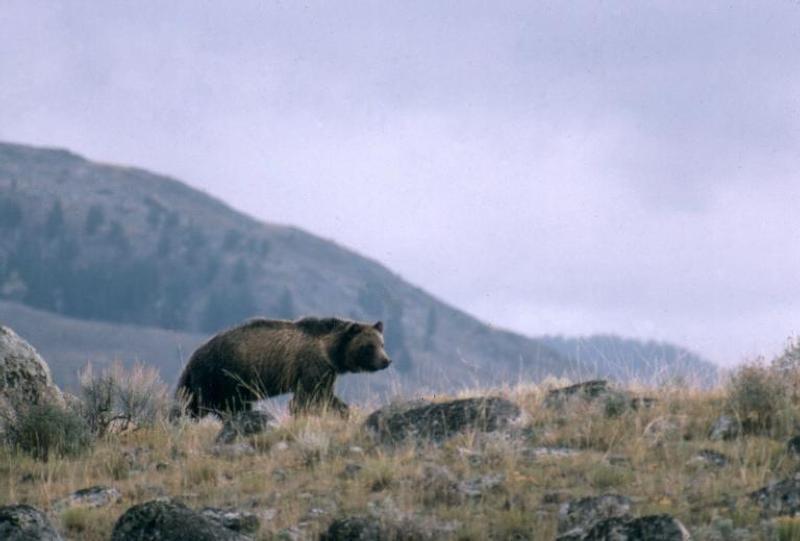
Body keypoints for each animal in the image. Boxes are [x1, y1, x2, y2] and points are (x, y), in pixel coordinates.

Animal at [175, 317, 392, 417]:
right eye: (369, 346)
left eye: (382, 344)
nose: (386, 361)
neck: (330, 351)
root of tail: (194, 356)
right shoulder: (311, 366)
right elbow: (307, 398)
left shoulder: (326, 373)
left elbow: (325, 395)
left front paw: (343, 411)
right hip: (221, 376)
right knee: (208, 406)